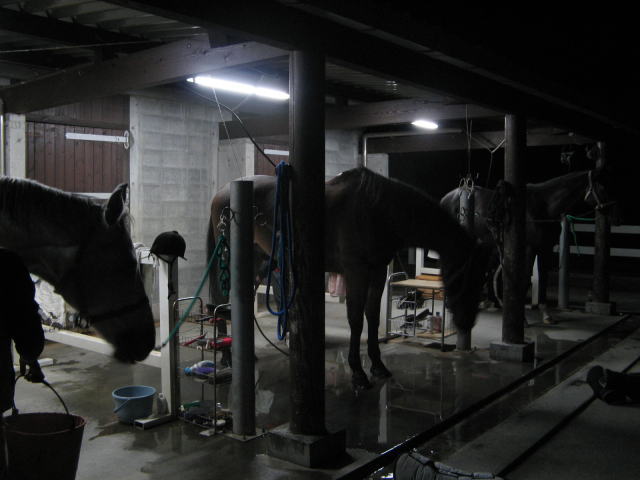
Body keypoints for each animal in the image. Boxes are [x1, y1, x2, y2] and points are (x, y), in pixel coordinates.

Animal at [209, 167, 490, 389]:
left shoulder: (377, 272)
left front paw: (378, 365)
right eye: (467, 277)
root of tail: (223, 191)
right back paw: (226, 356)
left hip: (258, 261)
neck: (378, 210)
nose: (467, 322)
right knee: (222, 300)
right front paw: (358, 373)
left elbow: (372, 317)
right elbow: (355, 319)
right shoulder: (356, 272)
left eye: (482, 279)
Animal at [440, 168, 612, 323]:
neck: (544, 206)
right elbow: (525, 279)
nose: (611, 209)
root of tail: (446, 198)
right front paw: (521, 318)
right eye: (602, 187)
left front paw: (546, 314)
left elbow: (543, 279)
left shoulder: (545, 250)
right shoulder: (529, 248)